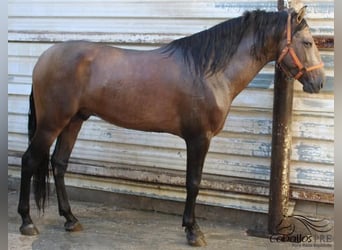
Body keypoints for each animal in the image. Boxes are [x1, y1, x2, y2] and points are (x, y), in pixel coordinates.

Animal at [18, 7, 324, 246]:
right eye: (308, 43)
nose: (319, 82)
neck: (209, 71)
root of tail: (45, 57)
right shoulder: (199, 138)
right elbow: (193, 182)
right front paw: (193, 231)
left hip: (73, 121)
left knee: (58, 164)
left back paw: (70, 219)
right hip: (51, 123)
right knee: (29, 160)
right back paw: (27, 221)